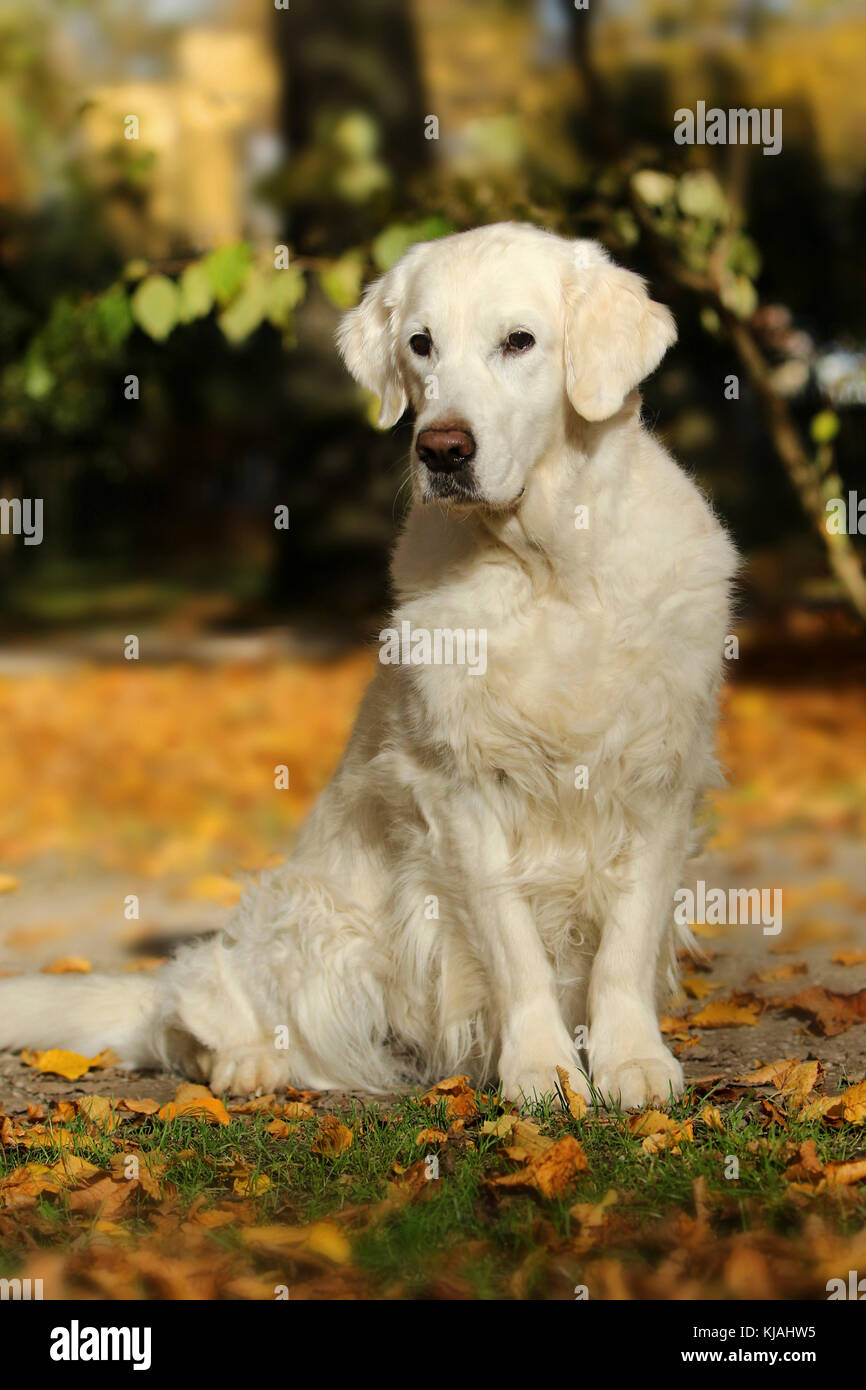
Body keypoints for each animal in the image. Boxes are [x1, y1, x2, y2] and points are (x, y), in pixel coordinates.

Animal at [0, 225, 733, 1106]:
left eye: (519, 341)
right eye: (421, 344)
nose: (441, 448)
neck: (549, 569)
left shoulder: (660, 772)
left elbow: (624, 947)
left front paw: (632, 1062)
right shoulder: (459, 793)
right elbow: (515, 949)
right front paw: (542, 1071)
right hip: (317, 923)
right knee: (192, 1001)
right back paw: (241, 1061)